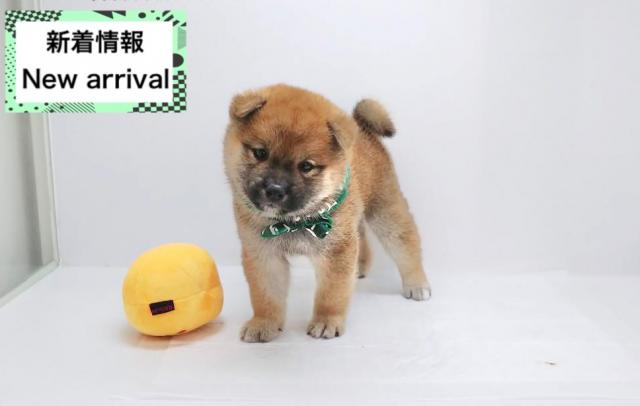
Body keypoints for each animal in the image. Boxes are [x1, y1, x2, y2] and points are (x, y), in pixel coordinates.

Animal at [223, 84, 430, 342]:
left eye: (306, 166)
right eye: (260, 153)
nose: (274, 190)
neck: (295, 220)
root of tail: (363, 127)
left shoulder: (335, 253)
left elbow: (331, 294)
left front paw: (326, 321)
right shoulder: (263, 253)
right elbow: (266, 295)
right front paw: (264, 323)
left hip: (385, 212)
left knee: (406, 244)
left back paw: (417, 283)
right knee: (362, 240)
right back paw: (360, 268)